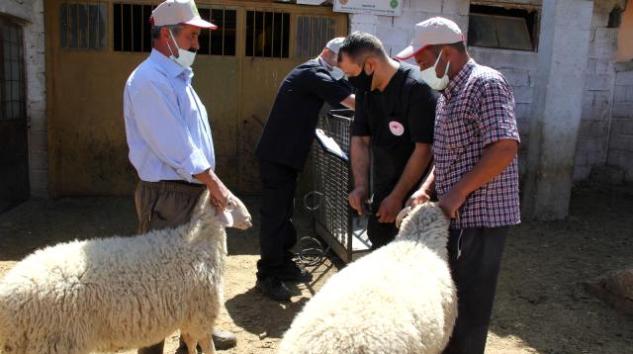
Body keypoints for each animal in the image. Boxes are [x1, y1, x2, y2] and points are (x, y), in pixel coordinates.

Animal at [0, 191, 251, 354]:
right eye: (230, 202)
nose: (249, 219)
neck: (200, 242)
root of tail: (7, 296)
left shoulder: (189, 316)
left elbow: (189, 343)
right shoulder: (201, 314)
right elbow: (206, 346)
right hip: (55, 341)